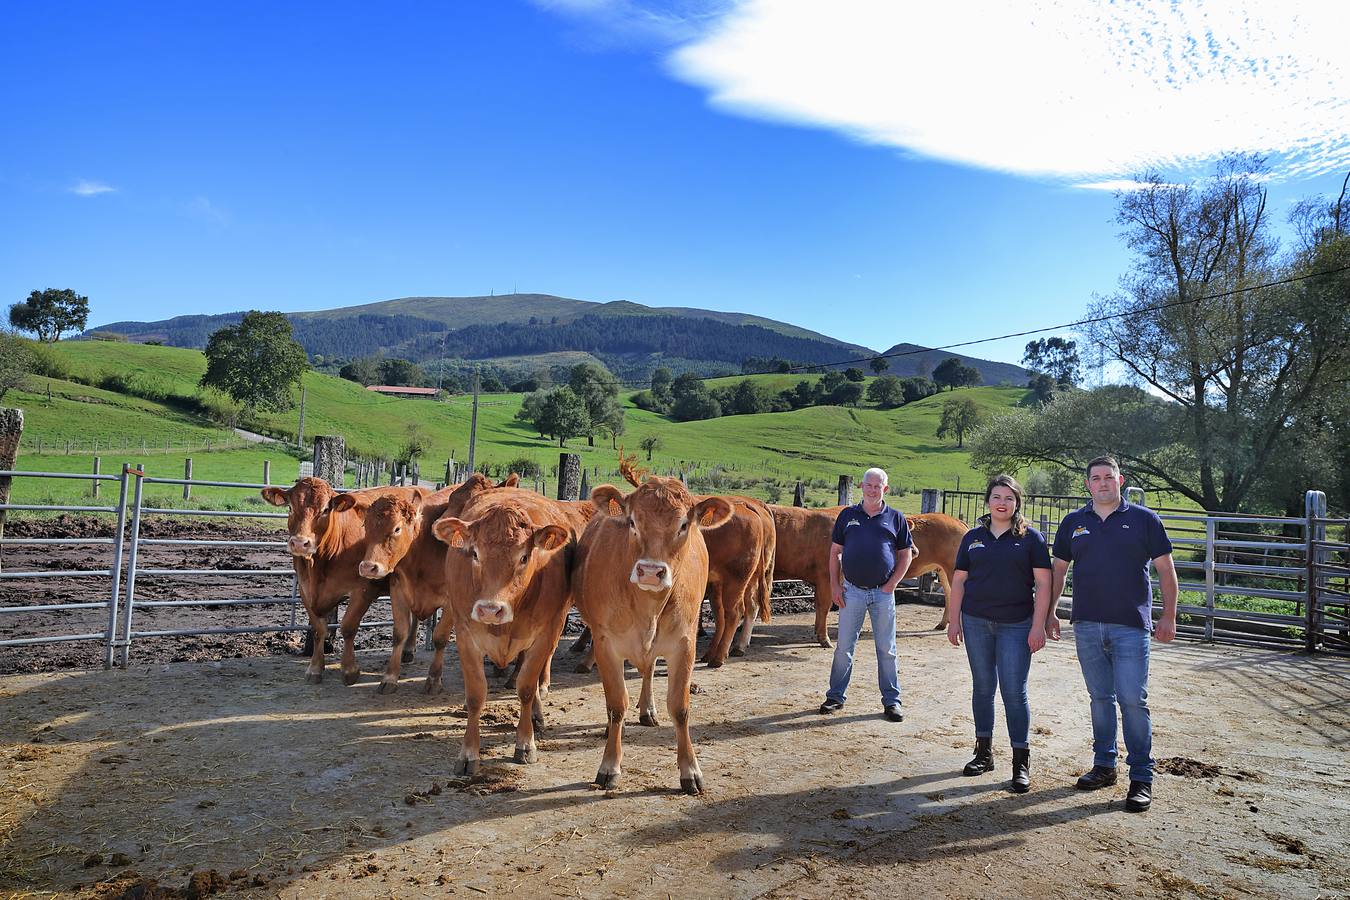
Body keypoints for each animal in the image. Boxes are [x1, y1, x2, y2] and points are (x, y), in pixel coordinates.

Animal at [256, 477, 415, 682]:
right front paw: (315, 668)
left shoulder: (364, 589)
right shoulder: (305, 589)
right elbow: (318, 629)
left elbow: (348, 627)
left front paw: (349, 669)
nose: (299, 543)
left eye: (325, 509)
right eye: (290, 507)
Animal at [426, 488, 585, 777]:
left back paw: (536, 714)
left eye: (524, 557)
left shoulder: (544, 635)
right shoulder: (466, 635)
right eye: (474, 554)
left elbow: (526, 688)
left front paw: (525, 744)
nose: (490, 610)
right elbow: (476, 694)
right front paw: (468, 754)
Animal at [575, 477, 734, 793]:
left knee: (648, 670)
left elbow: (680, 708)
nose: (650, 571)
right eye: (632, 521)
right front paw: (609, 766)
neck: (648, 607)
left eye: (684, 524)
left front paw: (690, 770)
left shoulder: (684, 644)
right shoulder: (605, 644)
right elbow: (616, 705)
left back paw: (647, 709)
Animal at [772, 507, 972, 647]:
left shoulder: (827, 579)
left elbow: (824, 606)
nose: (914, 551)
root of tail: (958, 521)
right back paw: (942, 624)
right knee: (950, 595)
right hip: (944, 571)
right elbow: (825, 606)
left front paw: (825, 638)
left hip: (951, 569)